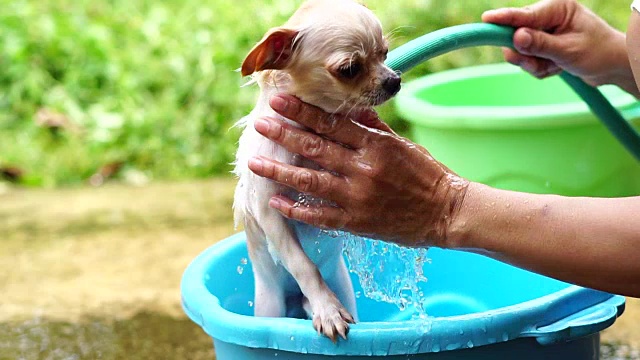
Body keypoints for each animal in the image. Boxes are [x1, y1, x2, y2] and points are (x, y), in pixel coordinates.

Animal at [230, 0, 400, 342]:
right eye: (349, 69)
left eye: (385, 53)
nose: (395, 80)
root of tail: (298, 303)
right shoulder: (271, 212)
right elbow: (303, 264)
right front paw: (327, 308)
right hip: (269, 304)